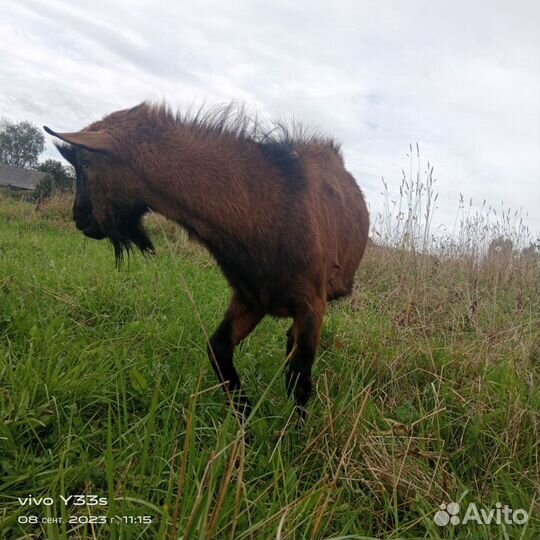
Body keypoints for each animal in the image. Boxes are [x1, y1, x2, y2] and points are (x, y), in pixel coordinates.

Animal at [44, 102, 370, 418]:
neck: (267, 205)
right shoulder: (251, 298)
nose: (79, 217)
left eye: (85, 162)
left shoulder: (311, 304)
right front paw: (244, 420)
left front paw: (292, 434)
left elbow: (299, 382)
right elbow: (218, 349)